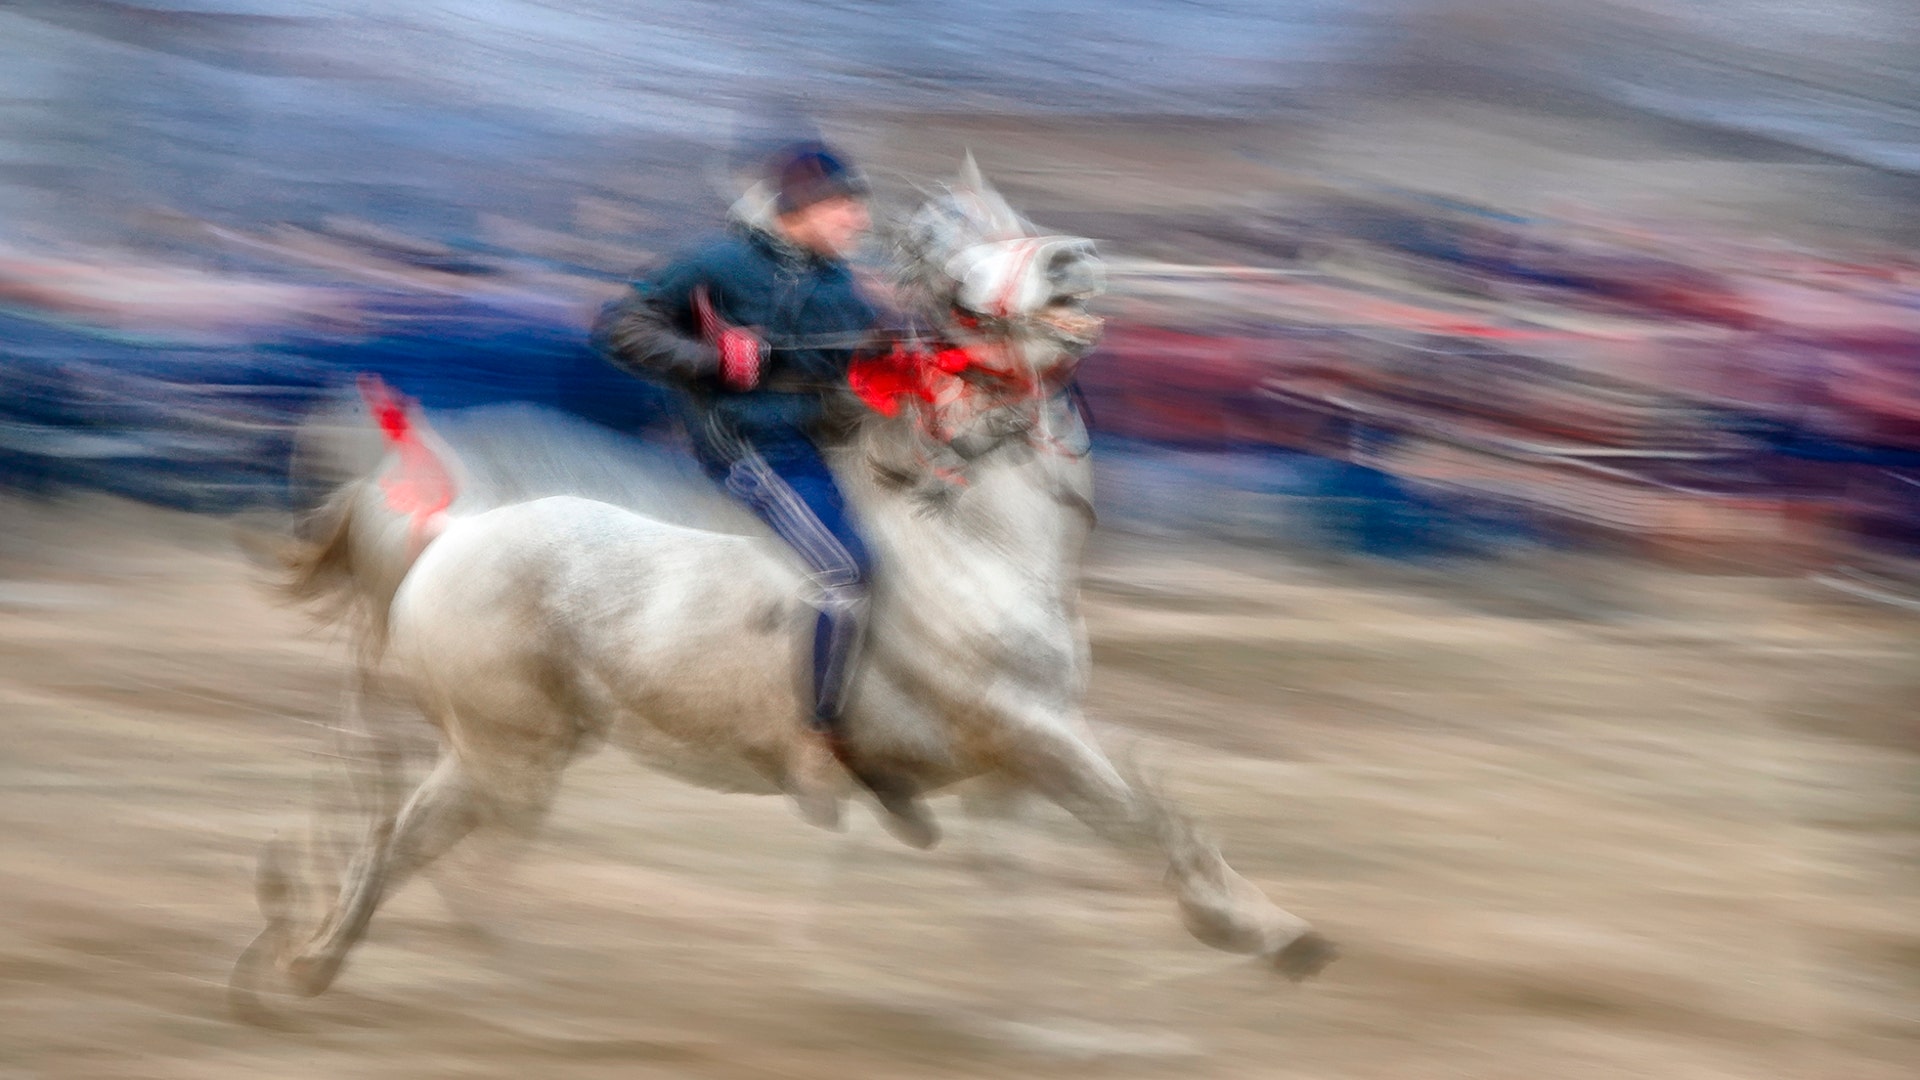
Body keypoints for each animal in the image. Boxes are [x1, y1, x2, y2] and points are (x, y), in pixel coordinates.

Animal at [234, 158, 1336, 1008]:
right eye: (954, 259)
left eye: (1014, 221)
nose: (1075, 258)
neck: (976, 543)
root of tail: (454, 533)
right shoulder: (1030, 731)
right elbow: (1155, 822)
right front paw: (1275, 937)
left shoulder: (1012, 770)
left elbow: (1033, 890)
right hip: (504, 754)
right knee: (407, 842)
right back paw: (344, 962)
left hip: (509, 758)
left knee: (423, 848)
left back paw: (376, 962)